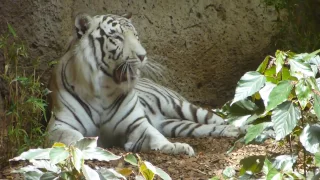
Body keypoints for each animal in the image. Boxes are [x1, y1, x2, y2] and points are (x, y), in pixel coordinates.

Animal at [47, 13, 240, 156]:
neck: (104, 89)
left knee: (218, 119)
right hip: (175, 125)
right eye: (117, 37)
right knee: (202, 128)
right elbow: (73, 137)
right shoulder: (59, 125)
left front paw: (176, 147)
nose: (142, 55)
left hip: (180, 106)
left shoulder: (137, 124)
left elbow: (156, 137)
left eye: (136, 36)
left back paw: (238, 128)